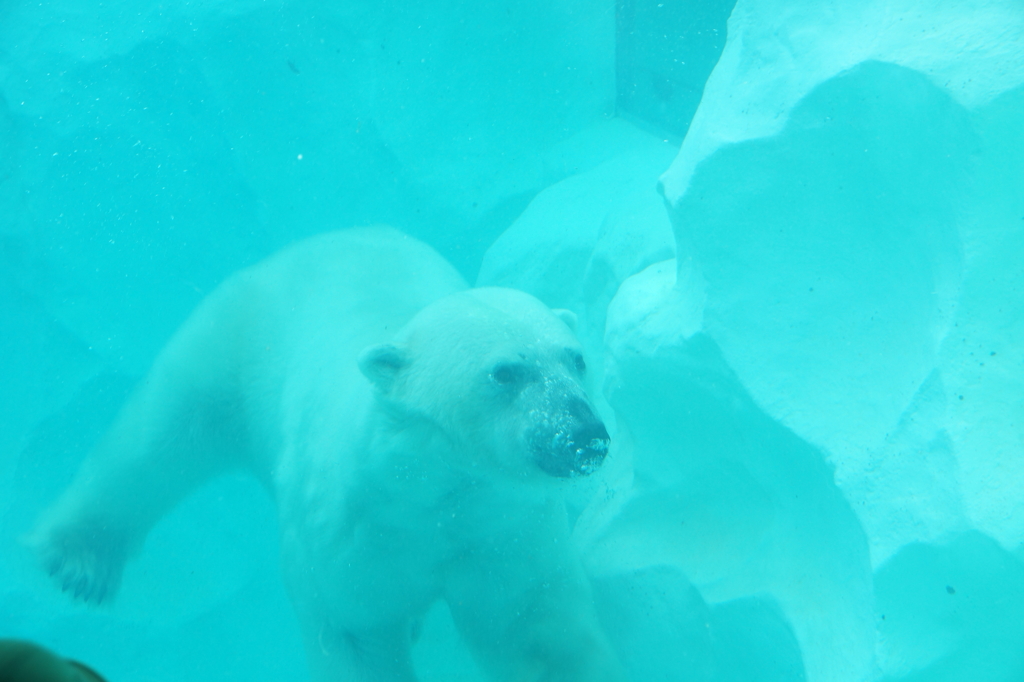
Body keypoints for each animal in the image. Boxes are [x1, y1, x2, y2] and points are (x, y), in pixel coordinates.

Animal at [29, 227, 622, 679]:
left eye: (576, 358)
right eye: (504, 372)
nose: (584, 433)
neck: (427, 489)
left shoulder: (500, 534)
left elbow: (533, 631)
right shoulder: (349, 535)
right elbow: (354, 631)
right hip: (234, 344)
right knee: (159, 437)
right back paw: (78, 560)